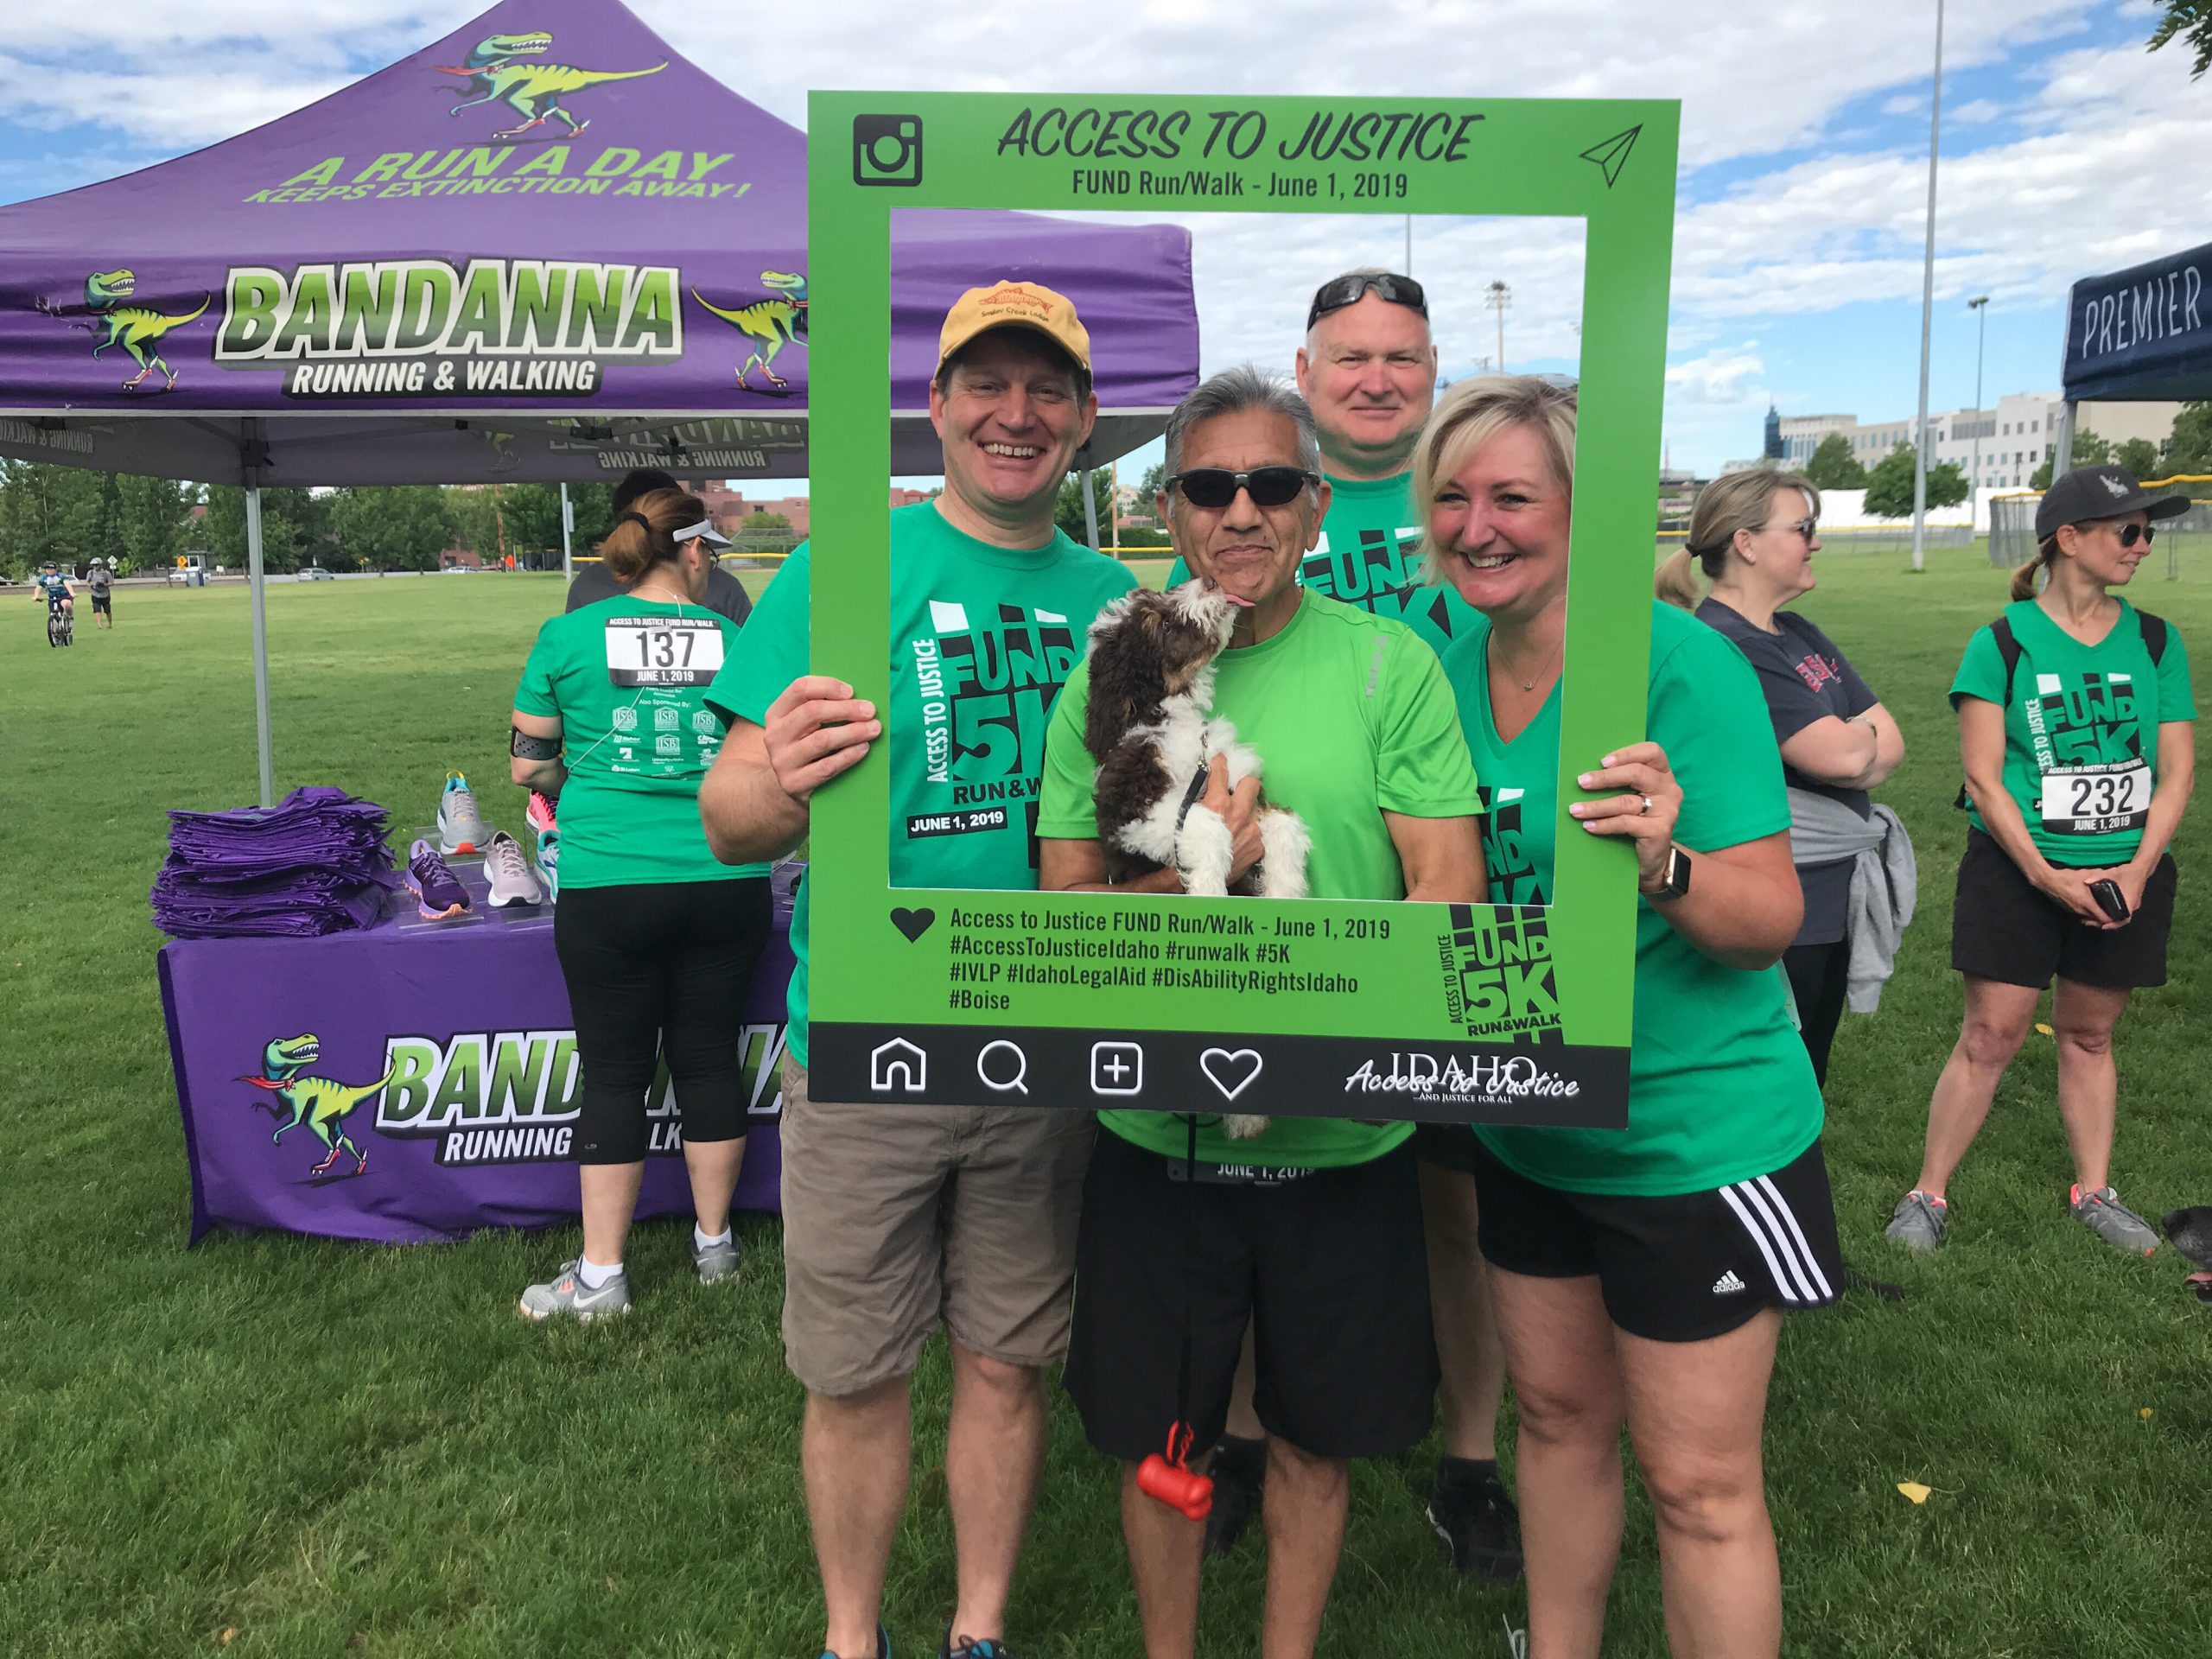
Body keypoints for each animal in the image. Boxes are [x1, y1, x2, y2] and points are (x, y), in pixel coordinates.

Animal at [1079, 583, 1300, 1141]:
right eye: (1159, 624)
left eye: (1157, 596)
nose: (1210, 584)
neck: (1175, 724)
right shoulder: (1130, 812)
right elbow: (1197, 818)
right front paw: (1209, 892)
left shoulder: (1246, 787)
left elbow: (1283, 825)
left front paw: (1287, 893)